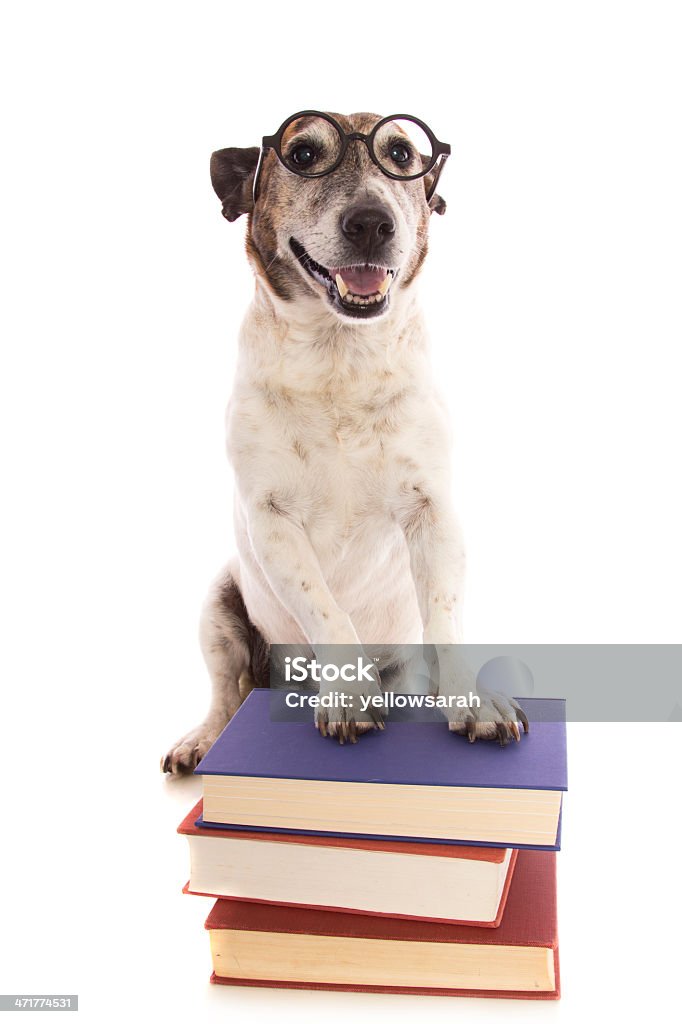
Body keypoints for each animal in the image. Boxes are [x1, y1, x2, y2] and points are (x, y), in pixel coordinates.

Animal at [160, 110, 524, 774]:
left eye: (401, 154)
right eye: (304, 153)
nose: (371, 222)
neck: (340, 360)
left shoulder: (434, 513)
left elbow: (446, 615)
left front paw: (472, 699)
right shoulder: (271, 523)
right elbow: (323, 607)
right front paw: (350, 693)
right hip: (220, 605)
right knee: (227, 692)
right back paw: (203, 739)